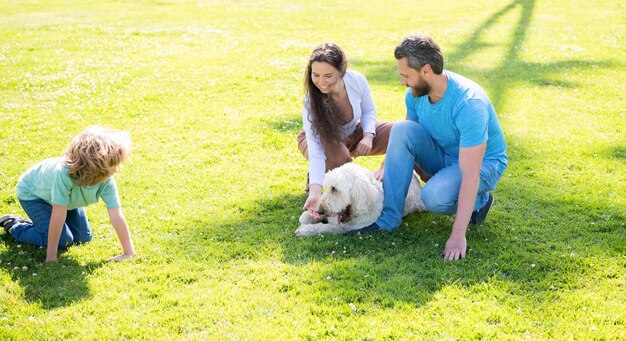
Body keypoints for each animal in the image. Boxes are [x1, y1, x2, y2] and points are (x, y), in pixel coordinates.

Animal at [294, 163, 424, 236]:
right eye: (327, 188)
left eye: (334, 189)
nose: (320, 210)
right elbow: (304, 217)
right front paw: (310, 217)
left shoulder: (343, 229)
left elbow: (326, 227)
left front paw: (305, 230)